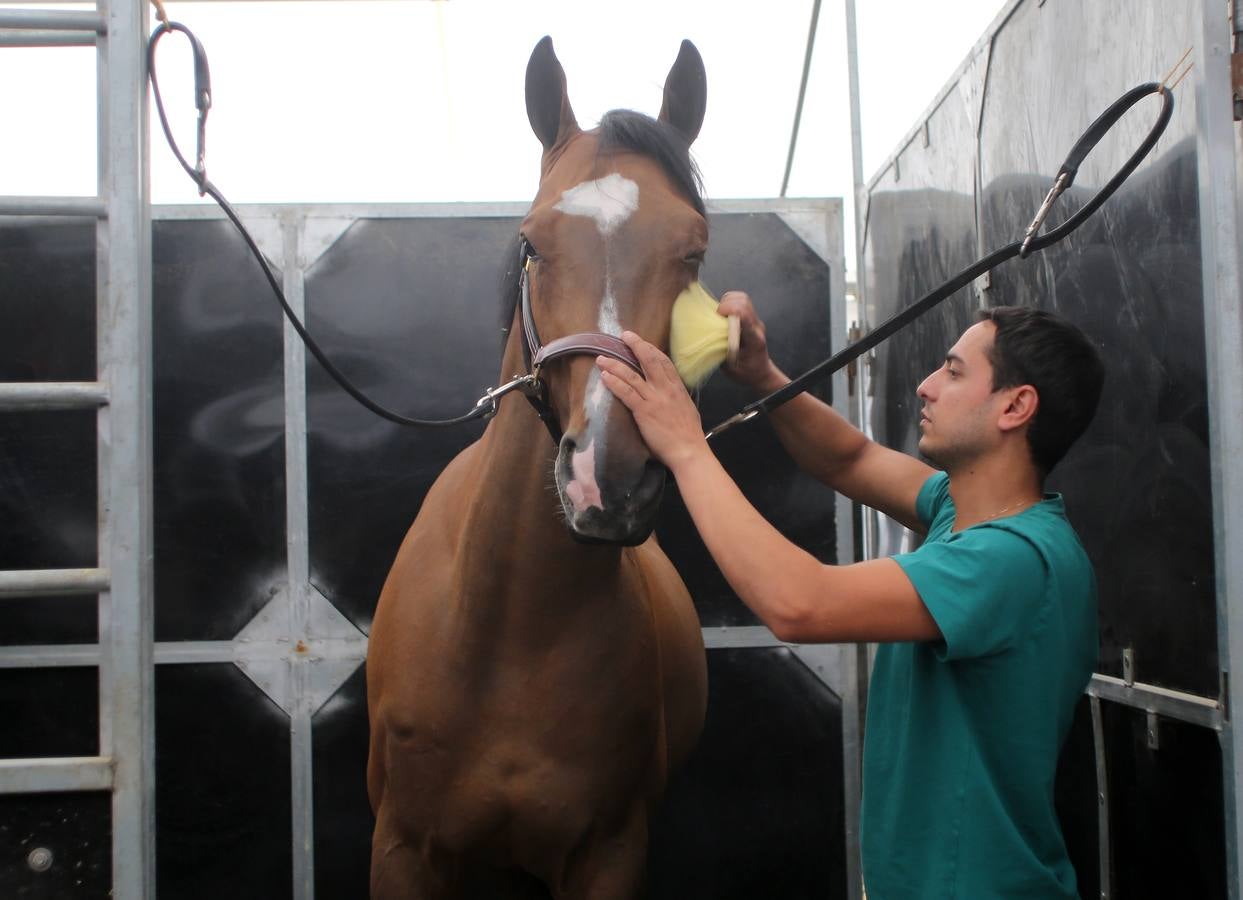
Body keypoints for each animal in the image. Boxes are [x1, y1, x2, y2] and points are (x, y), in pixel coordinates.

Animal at [365, 36, 710, 900]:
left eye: (694, 249)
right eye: (531, 243)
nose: (606, 480)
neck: (511, 634)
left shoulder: (609, 851)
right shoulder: (403, 847)